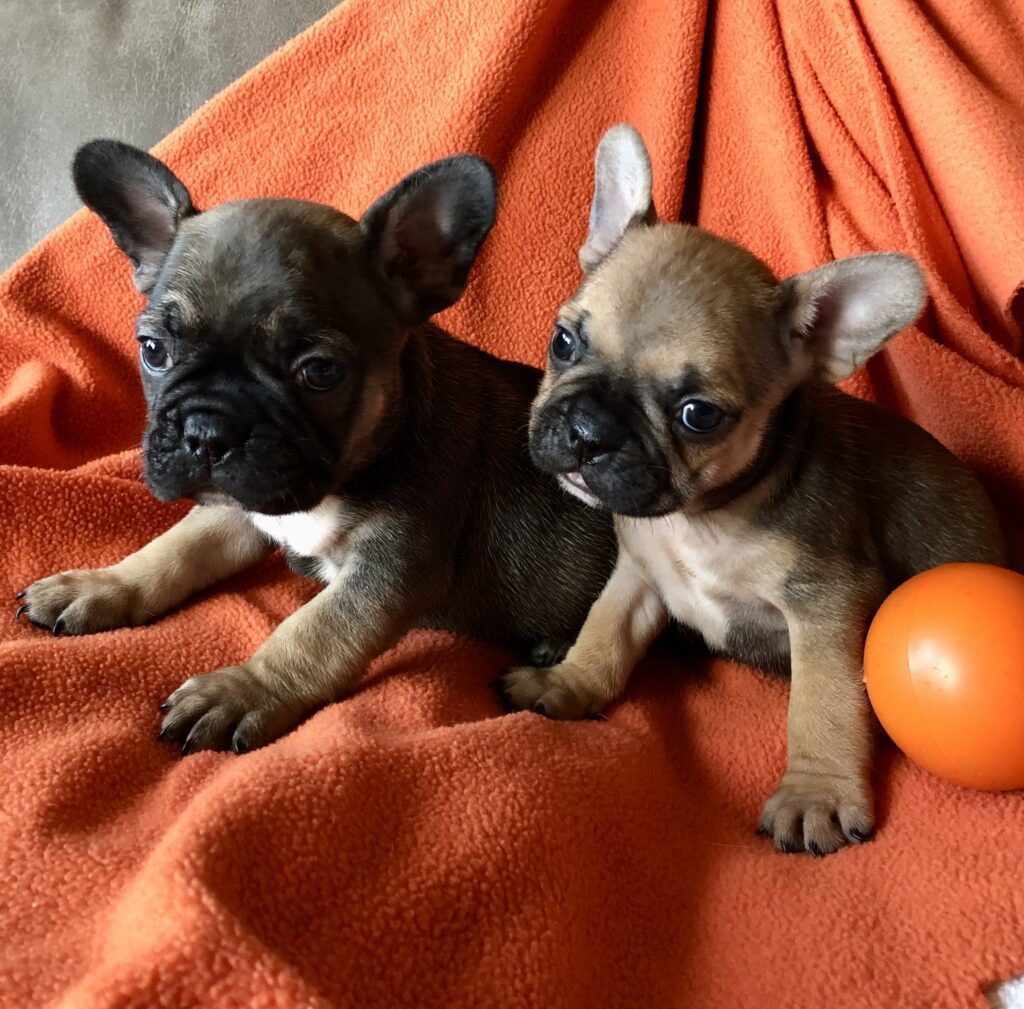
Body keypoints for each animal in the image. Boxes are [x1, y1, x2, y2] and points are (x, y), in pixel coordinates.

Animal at [18, 138, 614, 753]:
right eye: (154, 350)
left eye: (320, 373)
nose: (207, 432)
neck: (335, 482)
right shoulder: (237, 508)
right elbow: (174, 548)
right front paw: (102, 585)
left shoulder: (392, 570)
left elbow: (312, 633)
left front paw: (243, 689)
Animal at [499, 121, 1003, 856]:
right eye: (563, 341)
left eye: (698, 414)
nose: (589, 430)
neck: (702, 517)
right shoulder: (638, 575)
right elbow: (606, 631)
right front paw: (568, 682)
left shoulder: (827, 604)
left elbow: (823, 705)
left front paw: (816, 794)